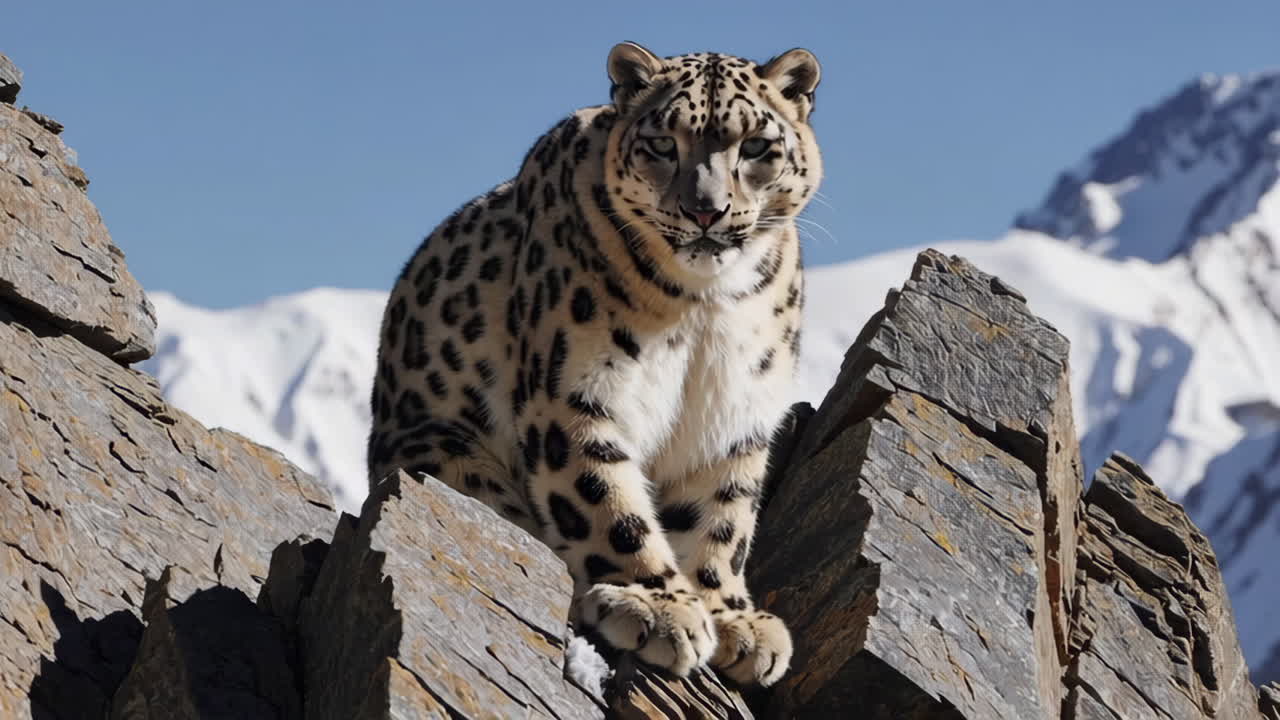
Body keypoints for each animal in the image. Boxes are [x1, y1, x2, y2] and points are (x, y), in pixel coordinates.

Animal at [367, 42, 821, 686]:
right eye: (662, 144)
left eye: (756, 146)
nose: (706, 211)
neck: (705, 306)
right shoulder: (576, 392)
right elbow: (603, 500)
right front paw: (656, 606)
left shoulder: (735, 409)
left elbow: (721, 516)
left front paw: (732, 616)